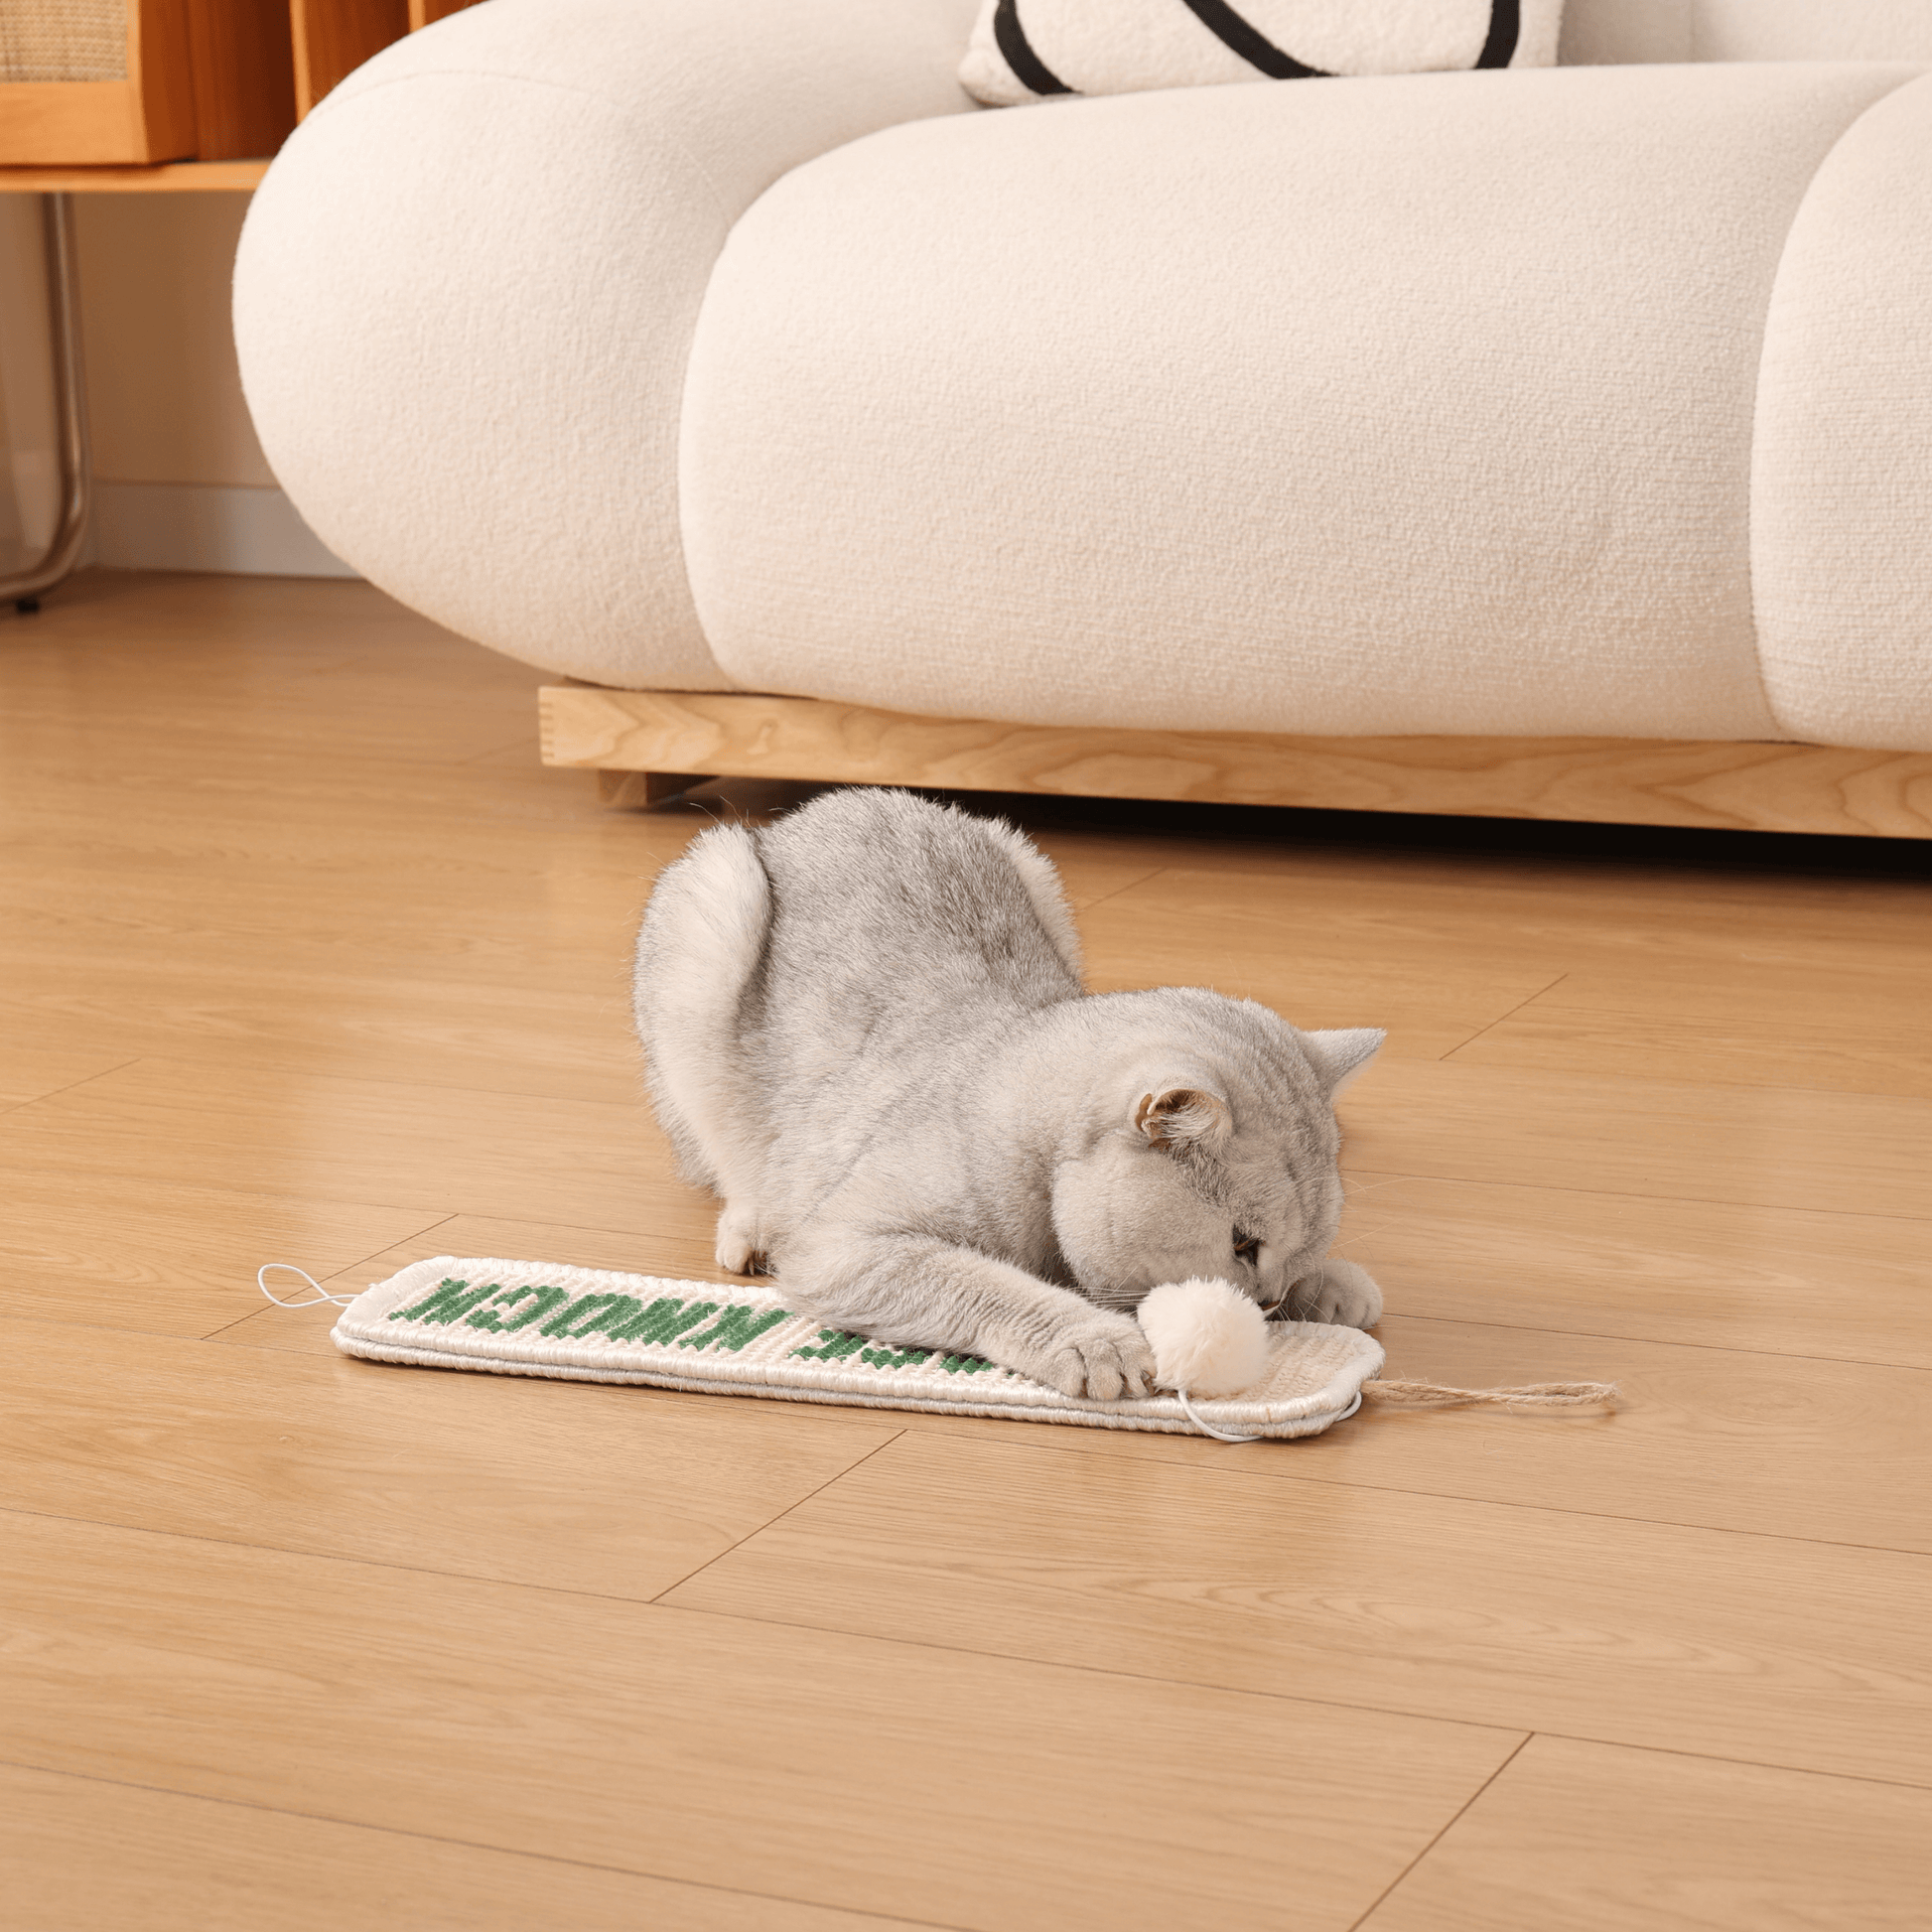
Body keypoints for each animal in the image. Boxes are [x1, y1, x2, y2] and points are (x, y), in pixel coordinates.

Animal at [637, 791, 1391, 1398]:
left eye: (1302, 1249)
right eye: (1242, 1244)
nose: (1268, 1302)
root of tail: (803, 815)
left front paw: (1326, 1286)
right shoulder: (843, 1249)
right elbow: (986, 1285)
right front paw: (1094, 1339)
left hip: (1033, 867)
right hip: (714, 912)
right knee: (726, 1157)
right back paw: (749, 1224)